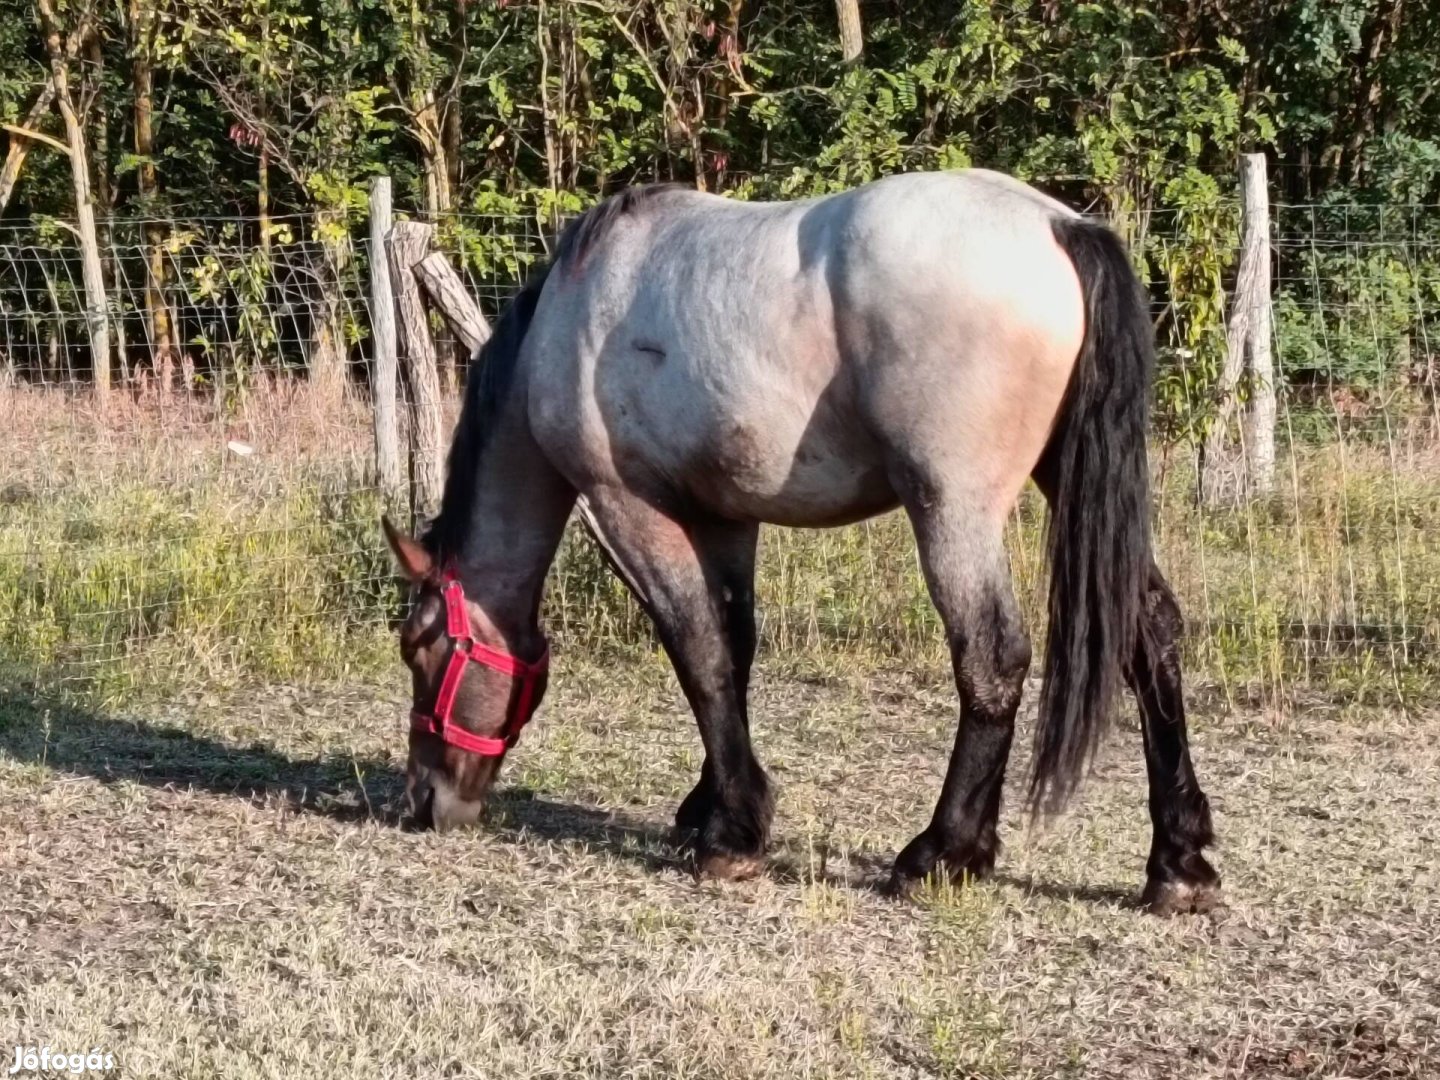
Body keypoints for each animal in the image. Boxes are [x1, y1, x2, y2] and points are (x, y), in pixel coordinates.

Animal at [377, 169, 1221, 915]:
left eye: (419, 647)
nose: (423, 799)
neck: (574, 310)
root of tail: (1059, 227)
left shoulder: (629, 508)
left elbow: (698, 654)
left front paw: (731, 835)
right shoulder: (724, 515)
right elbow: (734, 651)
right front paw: (708, 805)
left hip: (953, 508)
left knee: (992, 657)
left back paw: (943, 853)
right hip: (1068, 480)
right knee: (1152, 633)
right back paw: (1178, 862)